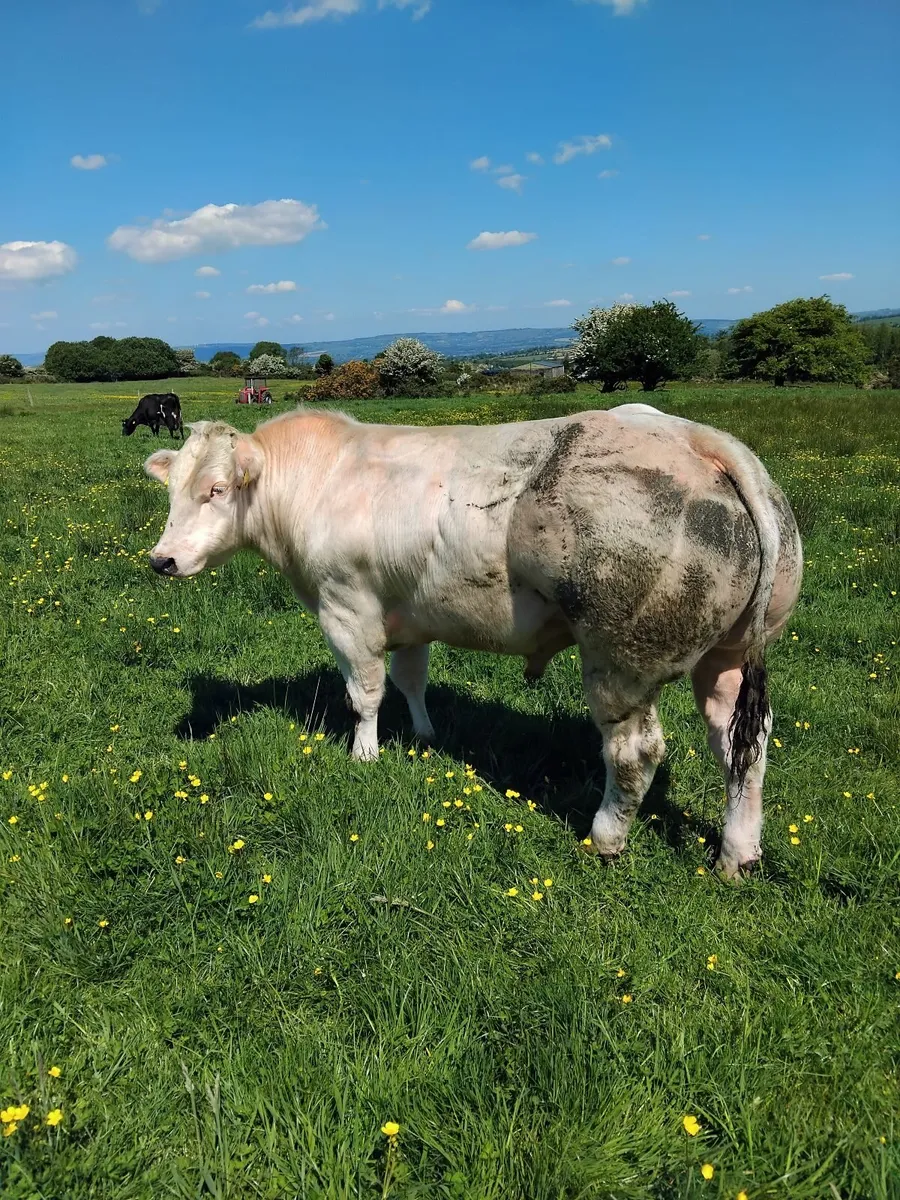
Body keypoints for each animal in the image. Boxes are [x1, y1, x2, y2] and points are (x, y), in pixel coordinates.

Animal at [143, 405, 802, 878]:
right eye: (173, 491)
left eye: (216, 490)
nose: (162, 560)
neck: (318, 482)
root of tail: (697, 438)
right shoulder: (408, 615)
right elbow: (410, 680)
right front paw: (424, 736)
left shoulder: (347, 609)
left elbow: (364, 692)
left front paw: (365, 754)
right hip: (727, 657)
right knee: (741, 745)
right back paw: (737, 853)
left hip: (622, 661)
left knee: (634, 752)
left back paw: (605, 839)